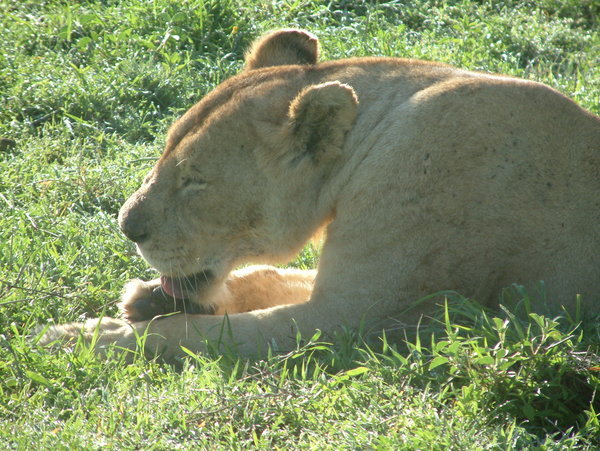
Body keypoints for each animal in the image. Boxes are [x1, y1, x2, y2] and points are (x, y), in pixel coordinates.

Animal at [39, 27, 596, 360]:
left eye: (195, 178)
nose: (126, 227)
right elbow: (266, 277)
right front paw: (147, 298)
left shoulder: (356, 318)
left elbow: (202, 334)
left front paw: (88, 336)